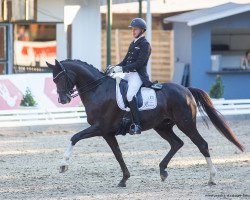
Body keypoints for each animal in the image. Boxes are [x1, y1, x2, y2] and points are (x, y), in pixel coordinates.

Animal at [45, 59, 244, 188]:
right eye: (53, 79)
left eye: (60, 78)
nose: (63, 99)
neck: (97, 89)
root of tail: (186, 89)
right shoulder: (107, 132)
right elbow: (118, 154)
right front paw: (124, 179)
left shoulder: (100, 128)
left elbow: (74, 137)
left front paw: (63, 165)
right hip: (162, 126)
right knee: (177, 143)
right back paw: (163, 171)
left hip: (186, 124)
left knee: (202, 144)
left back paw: (212, 178)